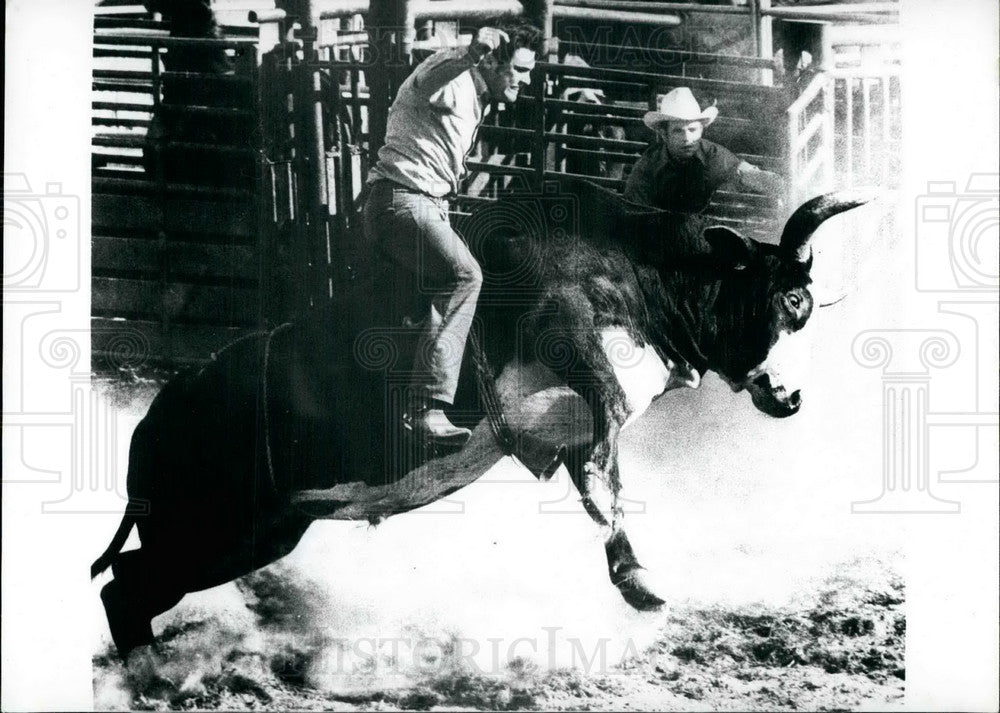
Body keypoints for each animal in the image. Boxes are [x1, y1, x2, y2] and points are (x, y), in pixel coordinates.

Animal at [94, 179, 876, 660]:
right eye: (792, 302)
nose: (791, 395)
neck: (637, 264)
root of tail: (148, 427)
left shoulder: (570, 425)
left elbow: (605, 473)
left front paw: (632, 575)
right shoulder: (564, 326)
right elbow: (611, 438)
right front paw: (628, 556)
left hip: (259, 533)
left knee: (127, 583)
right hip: (211, 533)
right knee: (121, 586)